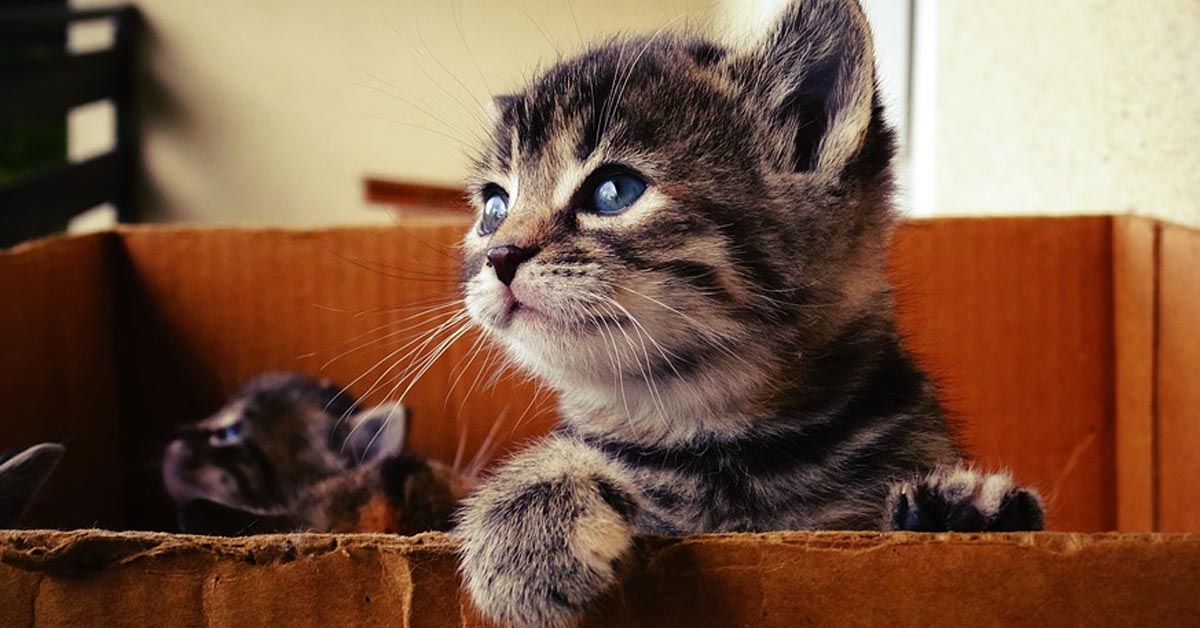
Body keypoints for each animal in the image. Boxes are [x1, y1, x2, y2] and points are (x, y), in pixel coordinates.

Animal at [453, 0, 1046, 624]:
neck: (718, 438)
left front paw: (965, 511)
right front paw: (525, 516)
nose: (499, 254)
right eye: (495, 207)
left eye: (614, 191)